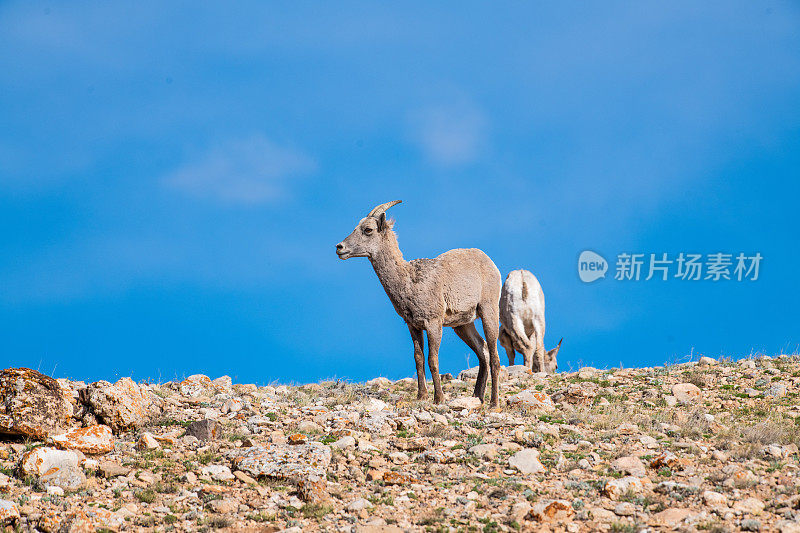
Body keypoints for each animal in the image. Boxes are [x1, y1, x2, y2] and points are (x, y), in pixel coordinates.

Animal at [334, 202, 504, 406]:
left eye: (368, 230)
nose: (339, 247)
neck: (409, 282)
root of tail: (489, 262)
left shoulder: (433, 323)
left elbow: (432, 360)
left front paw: (439, 398)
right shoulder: (413, 326)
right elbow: (418, 359)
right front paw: (421, 396)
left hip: (488, 310)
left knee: (494, 356)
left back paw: (494, 403)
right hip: (463, 325)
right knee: (482, 350)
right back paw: (477, 396)